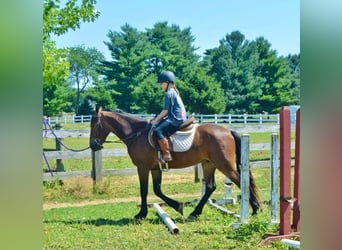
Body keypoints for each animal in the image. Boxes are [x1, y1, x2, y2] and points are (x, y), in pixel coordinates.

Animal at [89, 106, 260, 220]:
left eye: (94, 124)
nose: (93, 145)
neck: (137, 134)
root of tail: (228, 131)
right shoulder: (155, 168)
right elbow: (157, 190)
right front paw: (178, 206)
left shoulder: (143, 167)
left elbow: (144, 191)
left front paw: (141, 214)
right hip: (208, 164)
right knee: (210, 187)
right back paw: (195, 213)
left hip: (224, 165)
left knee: (241, 181)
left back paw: (255, 209)